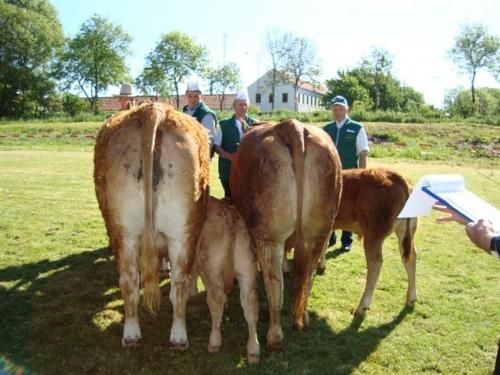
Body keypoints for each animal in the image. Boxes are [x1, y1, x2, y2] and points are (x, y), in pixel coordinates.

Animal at [94, 102, 209, 350]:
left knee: (132, 281)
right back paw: (173, 335)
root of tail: (152, 109)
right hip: (178, 233)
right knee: (175, 283)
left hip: (126, 232)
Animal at [193, 198, 260, 366]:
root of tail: (231, 217)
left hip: (211, 269)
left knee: (215, 301)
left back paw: (214, 342)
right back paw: (253, 350)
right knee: (251, 305)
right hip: (247, 271)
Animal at [229, 119, 340, 352]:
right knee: (307, 279)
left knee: (274, 289)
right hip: (317, 234)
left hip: (269, 238)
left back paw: (274, 337)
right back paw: (302, 318)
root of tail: (291, 125)